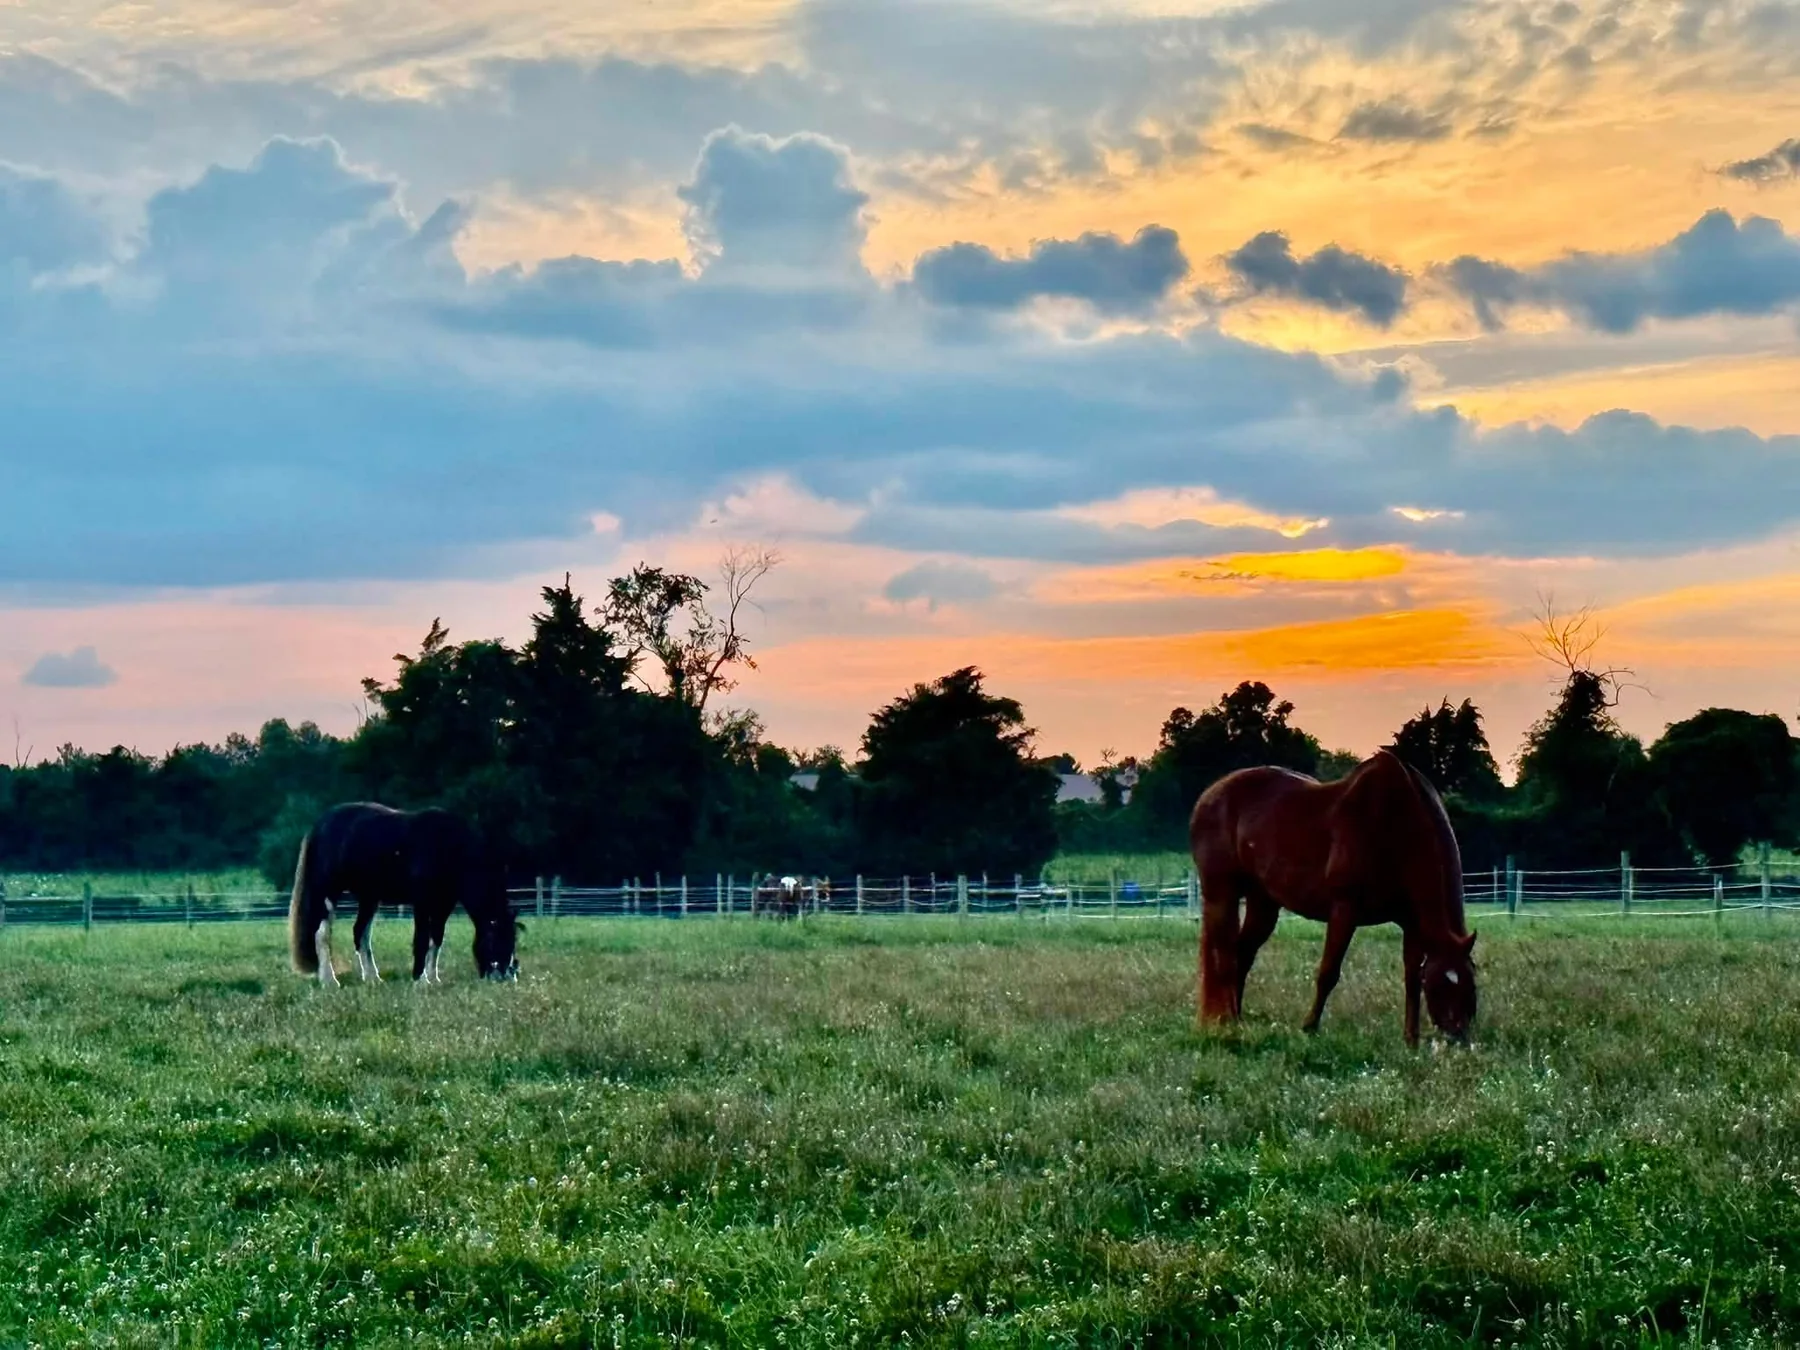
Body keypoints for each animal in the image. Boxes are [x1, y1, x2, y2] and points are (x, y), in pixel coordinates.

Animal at [287, 802, 521, 988]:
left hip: (369, 897)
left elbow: (436, 939)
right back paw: (329, 981)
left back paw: (373, 978)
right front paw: (420, 980)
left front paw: (433, 979)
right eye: (495, 939)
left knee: (360, 933)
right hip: (329, 892)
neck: (448, 847)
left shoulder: (443, 905)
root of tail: (320, 825)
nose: (506, 978)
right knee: (322, 934)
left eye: (512, 942)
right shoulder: (422, 903)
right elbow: (422, 939)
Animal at [1188, 748, 1476, 1045]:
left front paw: (1410, 1039)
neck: (1392, 824)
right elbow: (1328, 972)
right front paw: (1309, 1027)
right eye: (1442, 985)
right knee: (1223, 956)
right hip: (1222, 894)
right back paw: (1225, 1021)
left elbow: (1411, 978)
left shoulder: (1412, 923)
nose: (1459, 1038)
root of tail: (1209, 795)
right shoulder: (1344, 910)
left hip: (1262, 902)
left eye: (1470, 985)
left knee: (1242, 954)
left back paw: (1236, 1018)